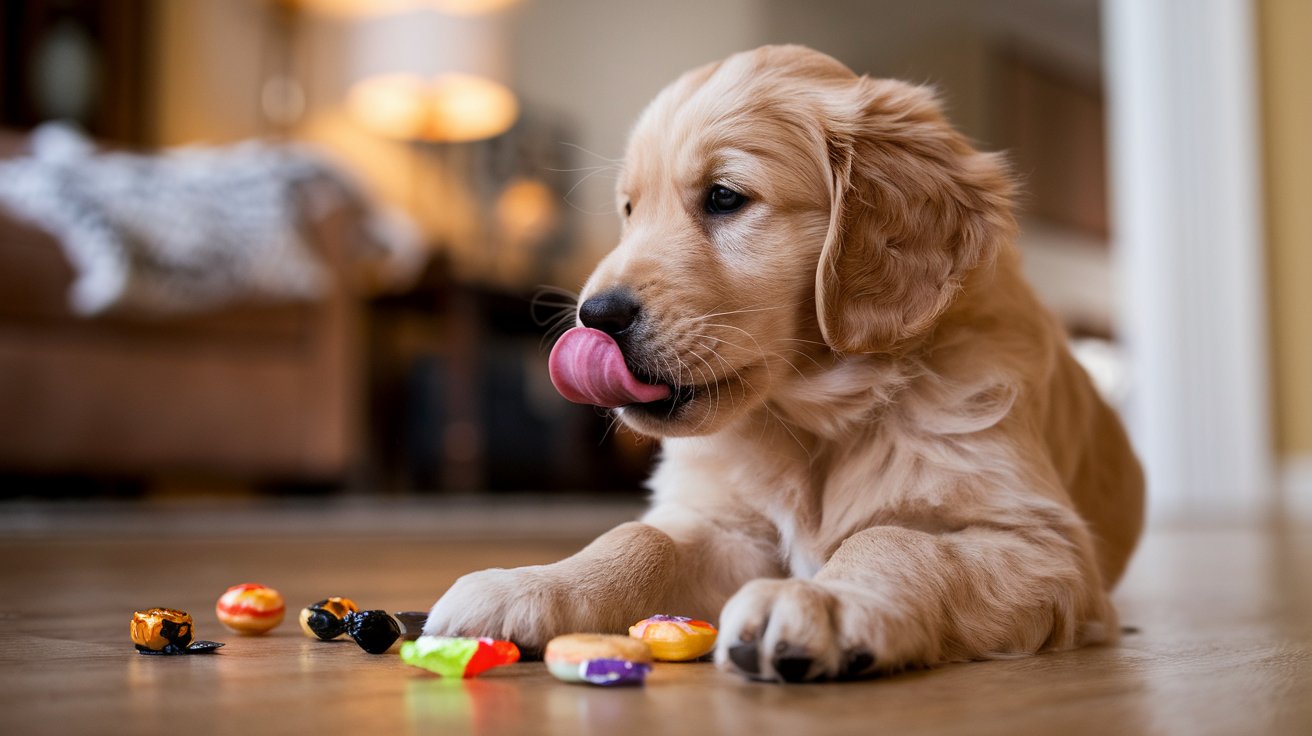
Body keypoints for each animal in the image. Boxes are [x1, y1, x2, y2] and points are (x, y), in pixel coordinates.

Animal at [425, 42, 1144, 682]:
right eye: (630, 210)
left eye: (724, 197)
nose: (593, 317)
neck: (814, 417)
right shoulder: (729, 528)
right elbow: (641, 538)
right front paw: (529, 584)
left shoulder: (1040, 544)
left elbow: (897, 539)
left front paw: (827, 599)